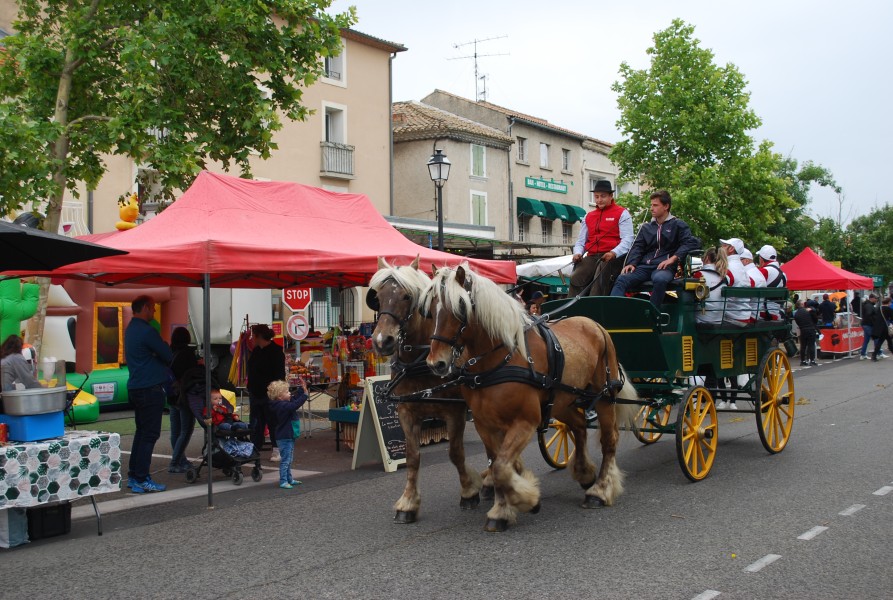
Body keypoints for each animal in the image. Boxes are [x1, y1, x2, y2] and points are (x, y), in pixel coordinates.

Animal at [366, 255, 484, 524]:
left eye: (407, 296)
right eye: (378, 296)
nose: (382, 341)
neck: (420, 361)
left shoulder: (454, 412)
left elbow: (456, 453)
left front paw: (469, 491)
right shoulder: (407, 413)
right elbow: (412, 457)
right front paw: (408, 503)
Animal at [422, 264, 636, 532]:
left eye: (460, 307)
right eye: (430, 310)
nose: (436, 363)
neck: (500, 359)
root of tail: (595, 324)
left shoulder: (525, 421)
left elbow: (502, 467)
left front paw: (525, 500)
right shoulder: (484, 424)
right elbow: (497, 463)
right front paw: (503, 508)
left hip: (605, 396)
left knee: (609, 440)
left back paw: (599, 490)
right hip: (563, 400)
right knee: (579, 427)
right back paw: (585, 473)